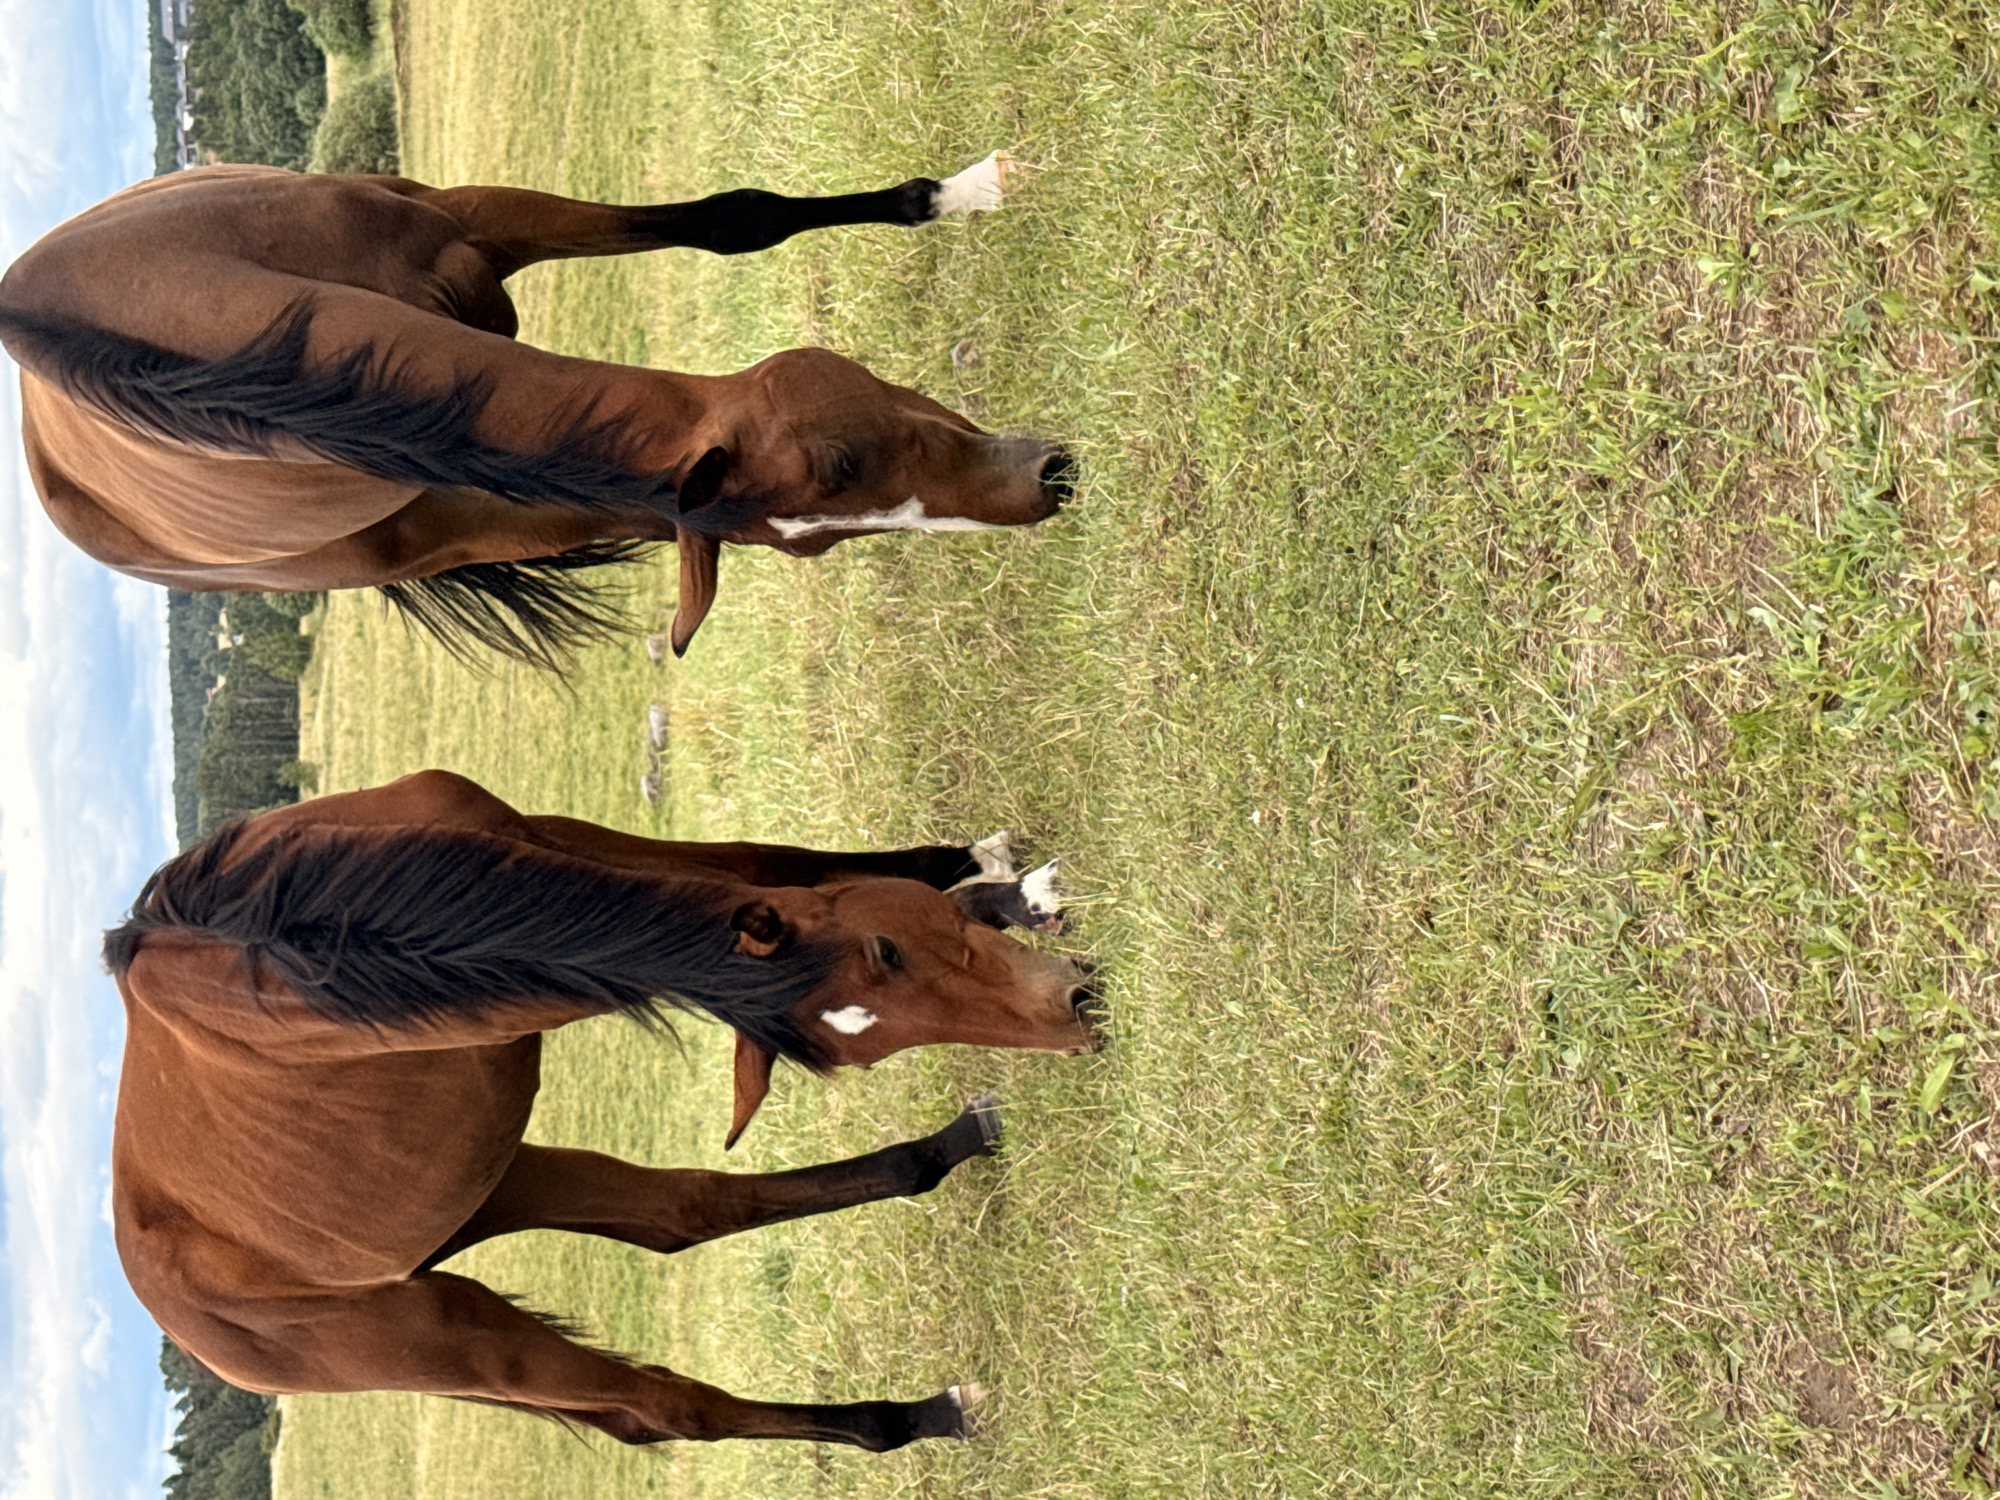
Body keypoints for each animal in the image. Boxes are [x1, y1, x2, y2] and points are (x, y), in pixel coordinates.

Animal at [105, 769, 1098, 1447]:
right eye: (886, 950)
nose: (1073, 1013)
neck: (292, 938)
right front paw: (1004, 889)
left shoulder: (532, 837)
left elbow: (758, 864)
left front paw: (1000, 884)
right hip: (448, 1336)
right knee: (673, 1407)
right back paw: (916, 1417)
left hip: (499, 1179)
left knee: (685, 1213)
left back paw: (955, 1142)